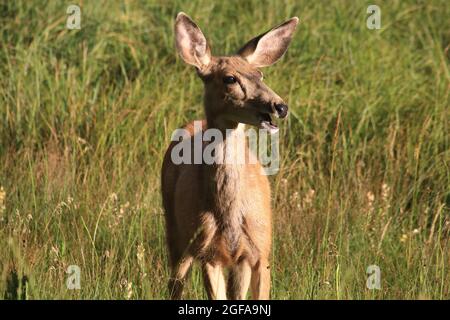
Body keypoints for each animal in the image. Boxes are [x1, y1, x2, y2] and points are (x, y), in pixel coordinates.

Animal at [162, 10, 298, 300]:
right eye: (230, 79)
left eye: (260, 74)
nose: (280, 106)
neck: (230, 215)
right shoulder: (208, 252)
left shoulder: (256, 252)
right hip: (176, 231)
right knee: (175, 282)